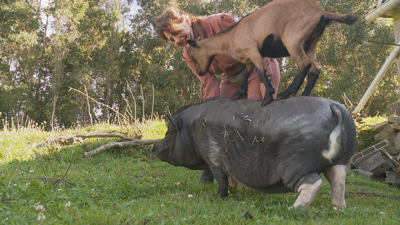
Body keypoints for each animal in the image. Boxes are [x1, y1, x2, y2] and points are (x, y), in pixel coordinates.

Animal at [152, 96, 356, 207]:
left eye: (170, 132)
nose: (154, 147)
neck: (190, 130)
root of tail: (334, 108)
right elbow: (231, 179)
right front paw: (234, 193)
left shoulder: (213, 156)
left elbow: (221, 179)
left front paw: (219, 198)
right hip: (340, 159)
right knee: (338, 179)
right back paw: (338, 208)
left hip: (296, 163)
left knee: (313, 183)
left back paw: (294, 209)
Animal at [188, 0, 360, 105]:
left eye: (193, 55)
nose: (200, 72)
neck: (231, 37)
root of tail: (321, 12)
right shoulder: (248, 59)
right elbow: (245, 74)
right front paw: (237, 94)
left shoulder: (253, 50)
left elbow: (261, 72)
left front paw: (268, 96)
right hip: (310, 45)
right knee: (314, 70)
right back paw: (304, 95)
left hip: (292, 40)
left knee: (304, 64)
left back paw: (286, 93)